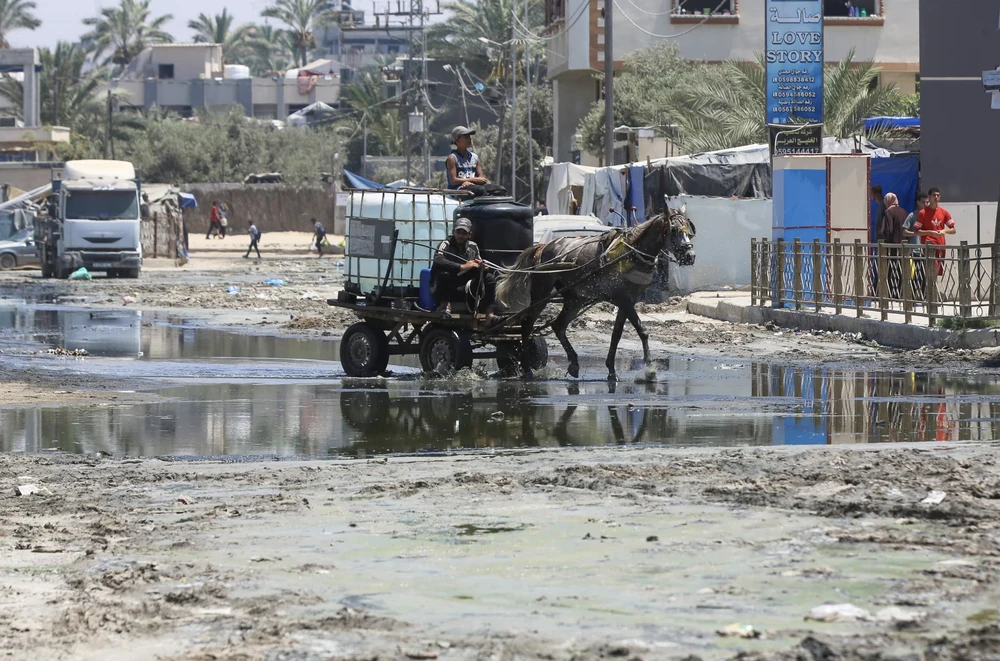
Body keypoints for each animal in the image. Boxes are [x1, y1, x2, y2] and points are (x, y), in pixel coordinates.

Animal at [492, 206, 696, 382]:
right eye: (673, 230)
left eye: (689, 231)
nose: (690, 256)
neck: (630, 254)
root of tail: (541, 246)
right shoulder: (623, 299)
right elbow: (642, 331)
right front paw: (650, 371)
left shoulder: (627, 301)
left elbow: (616, 334)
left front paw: (612, 370)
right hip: (541, 293)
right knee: (527, 324)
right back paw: (527, 369)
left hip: (575, 297)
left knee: (558, 325)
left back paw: (573, 364)